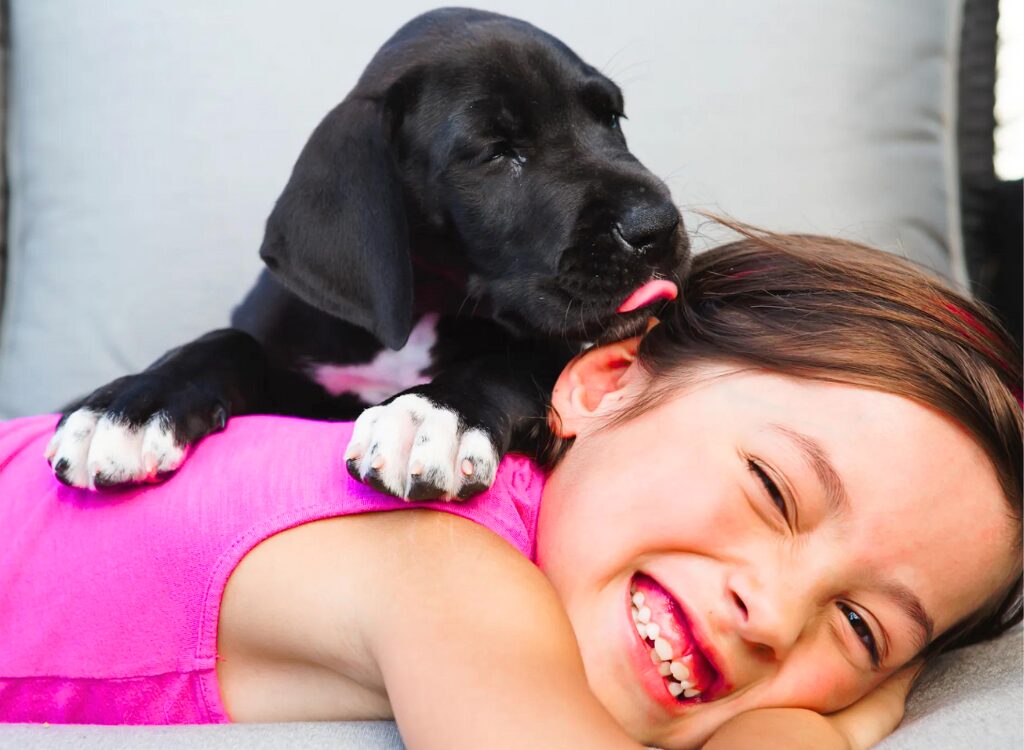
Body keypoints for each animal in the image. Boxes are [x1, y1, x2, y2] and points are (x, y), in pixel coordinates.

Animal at [46, 8, 688, 500]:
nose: (657, 226)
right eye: (497, 151)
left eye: (611, 117)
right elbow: (228, 342)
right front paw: (131, 404)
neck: (418, 311)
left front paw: (432, 414)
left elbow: (510, 360)